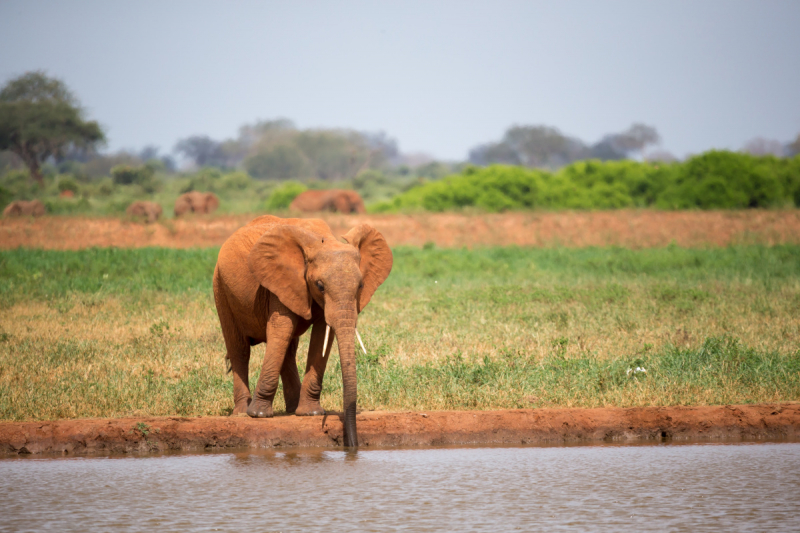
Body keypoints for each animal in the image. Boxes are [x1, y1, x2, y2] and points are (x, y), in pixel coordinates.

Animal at [214, 212, 392, 444]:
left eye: (361, 285)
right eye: (320, 286)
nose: (352, 445)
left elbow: (322, 335)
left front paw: (310, 413)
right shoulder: (280, 280)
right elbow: (281, 328)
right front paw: (259, 415)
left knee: (287, 350)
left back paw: (292, 409)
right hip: (221, 288)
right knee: (239, 350)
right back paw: (242, 412)